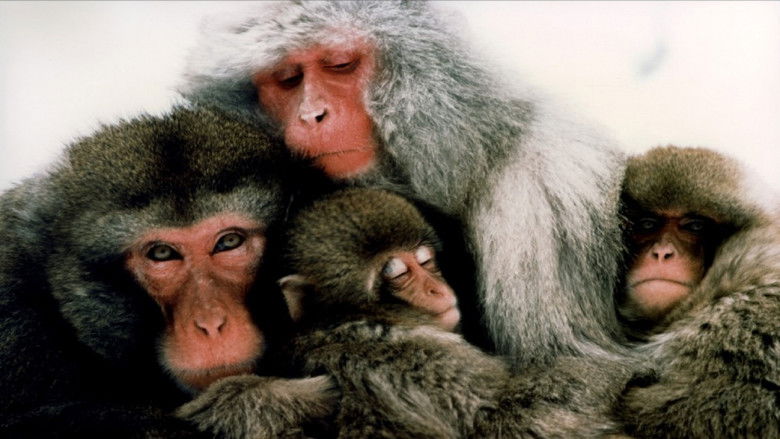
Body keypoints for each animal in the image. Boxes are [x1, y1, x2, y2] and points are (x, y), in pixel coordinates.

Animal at [178, 188, 635, 439]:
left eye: (425, 260)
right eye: (396, 274)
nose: (437, 289)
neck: (340, 323)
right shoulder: (413, 355)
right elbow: (512, 419)